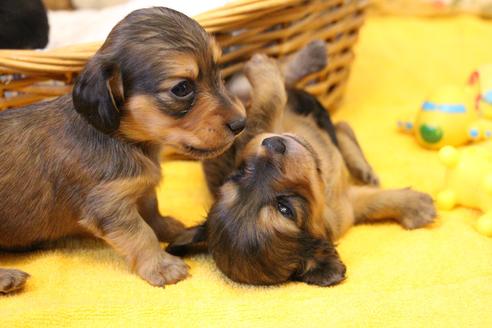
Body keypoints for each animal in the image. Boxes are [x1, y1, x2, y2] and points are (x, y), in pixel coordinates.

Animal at [0, 7, 246, 294]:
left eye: (219, 71)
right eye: (182, 88)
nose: (241, 124)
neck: (126, 140)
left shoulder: (141, 190)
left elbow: (151, 211)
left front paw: (169, 228)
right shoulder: (108, 204)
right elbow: (140, 234)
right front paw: (161, 265)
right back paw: (7, 277)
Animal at [167, 52, 436, 286]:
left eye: (238, 175)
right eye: (285, 209)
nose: (273, 144)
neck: (320, 181)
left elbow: (378, 201)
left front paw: (416, 206)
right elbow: (268, 107)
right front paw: (420, 206)